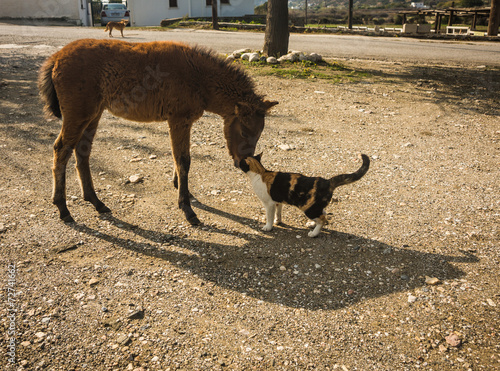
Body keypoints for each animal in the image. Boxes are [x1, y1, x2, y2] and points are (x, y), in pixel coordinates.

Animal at [39, 40, 278, 227]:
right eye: (244, 130)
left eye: (259, 132)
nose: (243, 163)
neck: (198, 76)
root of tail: (56, 58)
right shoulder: (179, 119)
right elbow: (183, 160)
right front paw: (187, 208)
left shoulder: (182, 121)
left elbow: (179, 158)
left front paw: (181, 189)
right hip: (78, 114)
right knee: (62, 149)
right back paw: (63, 208)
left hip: (94, 114)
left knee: (82, 151)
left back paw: (96, 202)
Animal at [240, 153, 370, 238]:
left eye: (240, 162)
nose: (236, 161)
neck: (260, 172)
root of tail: (327, 182)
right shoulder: (278, 201)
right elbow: (278, 213)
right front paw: (278, 221)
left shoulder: (269, 204)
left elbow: (269, 216)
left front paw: (268, 226)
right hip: (315, 207)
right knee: (323, 213)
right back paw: (312, 224)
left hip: (308, 208)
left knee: (323, 219)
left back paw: (314, 233)